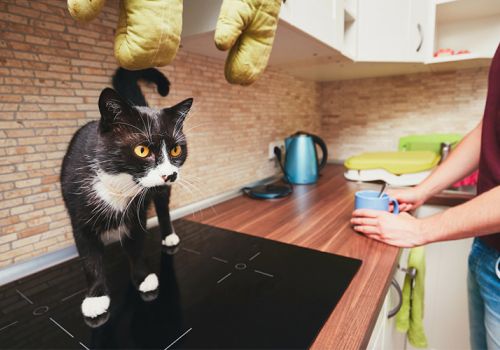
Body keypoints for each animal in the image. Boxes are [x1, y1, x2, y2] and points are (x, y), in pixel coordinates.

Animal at [59, 68, 191, 320]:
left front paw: (142, 278)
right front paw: (96, 297)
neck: (120, 184)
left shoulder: (138, 213)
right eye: (142, 150)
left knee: (162, 207)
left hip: (160, 193)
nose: (169, 174)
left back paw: (168, 235)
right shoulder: (79, 216)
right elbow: (89, 257)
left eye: (175, 149)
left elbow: (136, 244)